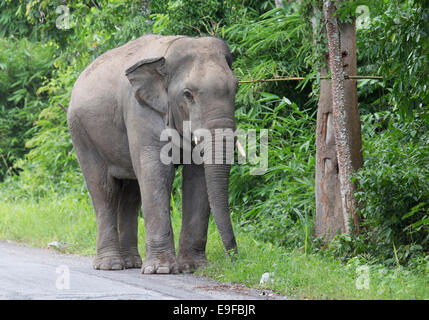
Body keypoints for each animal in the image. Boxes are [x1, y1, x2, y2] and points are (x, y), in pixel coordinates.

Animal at [68, 35, 239, 276]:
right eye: (188, 94)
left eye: (236, 88)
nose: (233, 258)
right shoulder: (140, 110)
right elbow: (158, 172)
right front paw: (162, 270)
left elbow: (196, 177)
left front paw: (193, 267)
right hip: (81, 134)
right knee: (105, 190)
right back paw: (110, 265)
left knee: (131, 194)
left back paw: (131, 262)